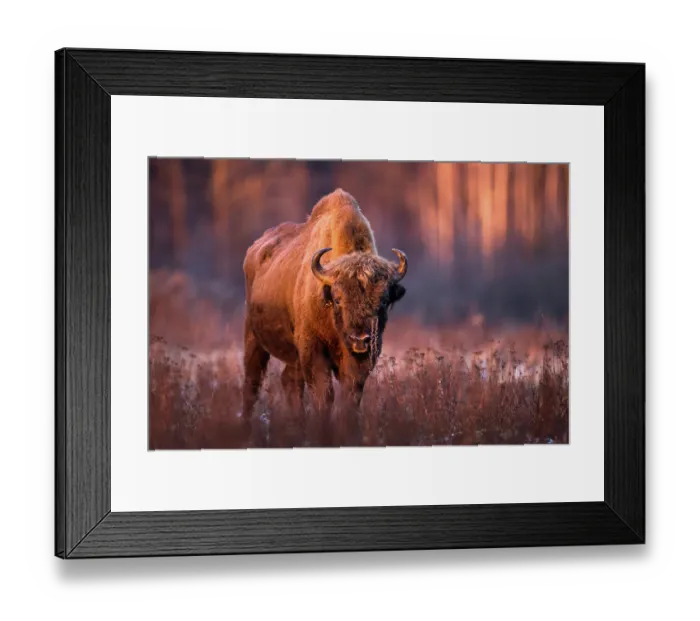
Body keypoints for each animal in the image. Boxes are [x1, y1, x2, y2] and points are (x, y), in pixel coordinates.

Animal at [241, 188, 408, 446]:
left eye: (383, 301)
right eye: (338, 299)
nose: (360, 340)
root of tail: (254, 250)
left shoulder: (360, 362)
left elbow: (350, 396)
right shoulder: (313, 351)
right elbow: (324, 395)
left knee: (289, 382)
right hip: (253, 338)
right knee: (252, 384)